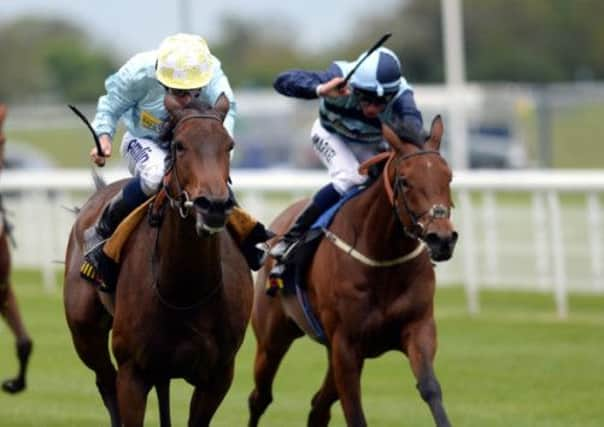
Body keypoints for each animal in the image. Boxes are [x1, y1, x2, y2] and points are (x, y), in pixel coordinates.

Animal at [61, 96, 250, 427]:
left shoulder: (218, 376)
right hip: (85, 333)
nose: (213, 205)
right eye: (179, 145)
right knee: (105, 382)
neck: (184, 291)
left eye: (229, 144)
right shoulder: (133, 373)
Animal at [250, 115, 458, 426]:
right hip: (272, 338)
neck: (383, 259)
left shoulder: (418, 328)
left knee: (319, 406)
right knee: (260, 397)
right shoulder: (346, 346)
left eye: (448, 177)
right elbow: (355, 412)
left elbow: (430, 388)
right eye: (405, 181)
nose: (442, 239)